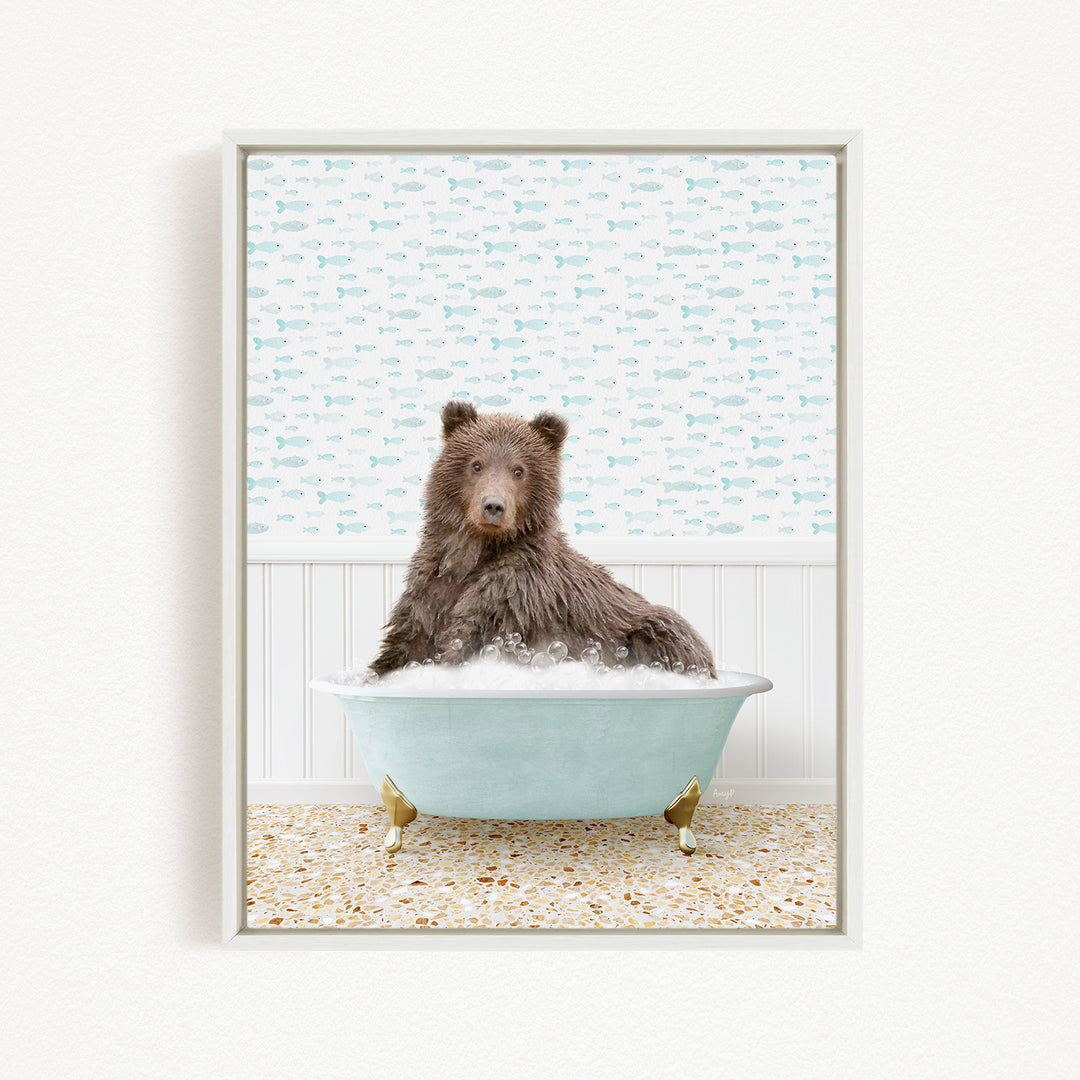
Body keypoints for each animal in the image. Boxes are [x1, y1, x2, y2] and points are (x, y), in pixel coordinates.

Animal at [369, 399, 716, 678]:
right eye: (476, 464)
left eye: (519, 470)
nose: (493, 506)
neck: (475, 553)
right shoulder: (430, 589)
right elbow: (404, 645)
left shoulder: (514, 594)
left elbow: (468, 639)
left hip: (649, 629)